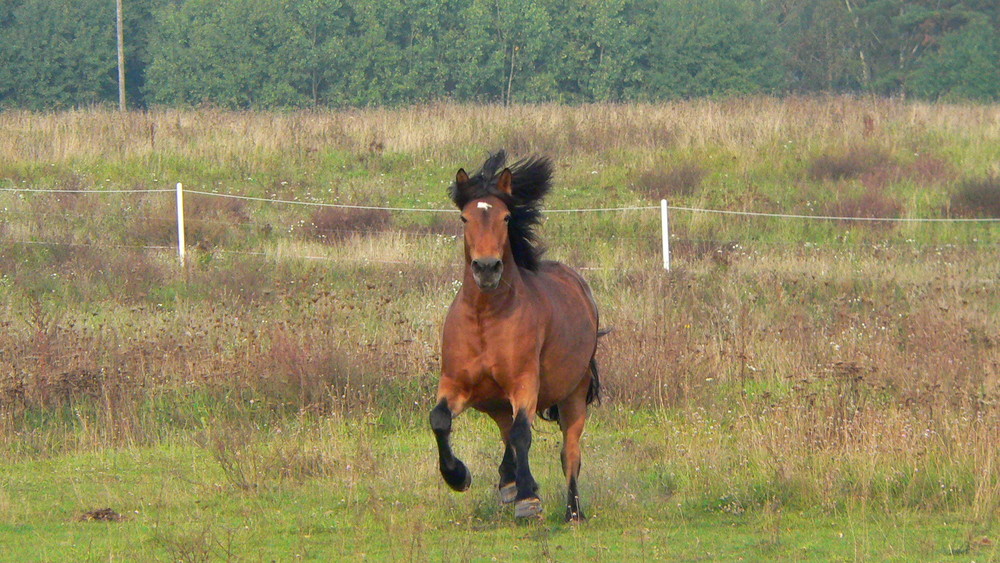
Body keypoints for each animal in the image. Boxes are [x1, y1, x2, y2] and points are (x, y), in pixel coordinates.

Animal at [428, 152, 600, 524]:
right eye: (464, 217)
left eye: (505, 217)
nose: (487, 268)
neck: (485, 318)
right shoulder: (456, 384)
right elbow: (439, 420)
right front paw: (457, 476)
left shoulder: (524, 383)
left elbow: (524, 434)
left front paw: (528, 499)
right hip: (494, 400)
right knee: (507, 432)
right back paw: (508, 482)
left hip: (573, 395)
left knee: (569, 453)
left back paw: (572, 511)